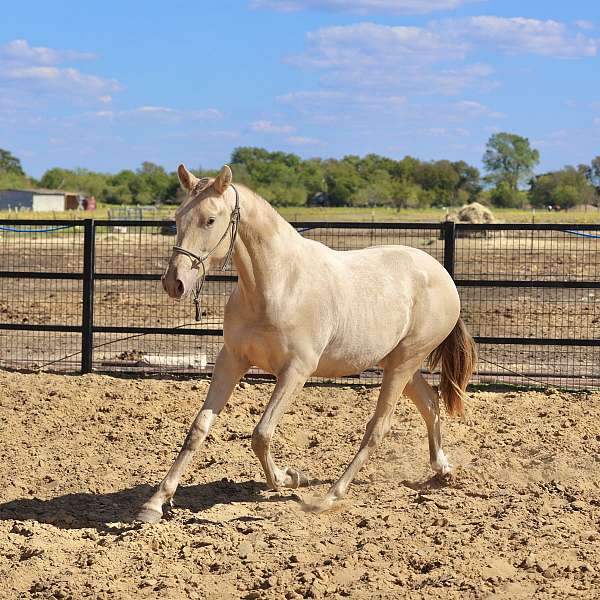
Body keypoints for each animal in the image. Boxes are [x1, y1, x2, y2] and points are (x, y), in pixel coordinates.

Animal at [135, 166, 474, 524]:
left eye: (210, 220)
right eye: (177, 217)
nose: (174, 282)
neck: (279, 284)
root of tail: (441, 274)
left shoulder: (296, 371)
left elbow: (262, 433)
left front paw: (287, 478)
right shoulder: (232, 360)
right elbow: (198, 429)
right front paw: (154, 503)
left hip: (404, 363)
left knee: (378, 427)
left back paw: (328, 497)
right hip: (397, 363)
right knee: (430, 404)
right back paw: (443, 469)